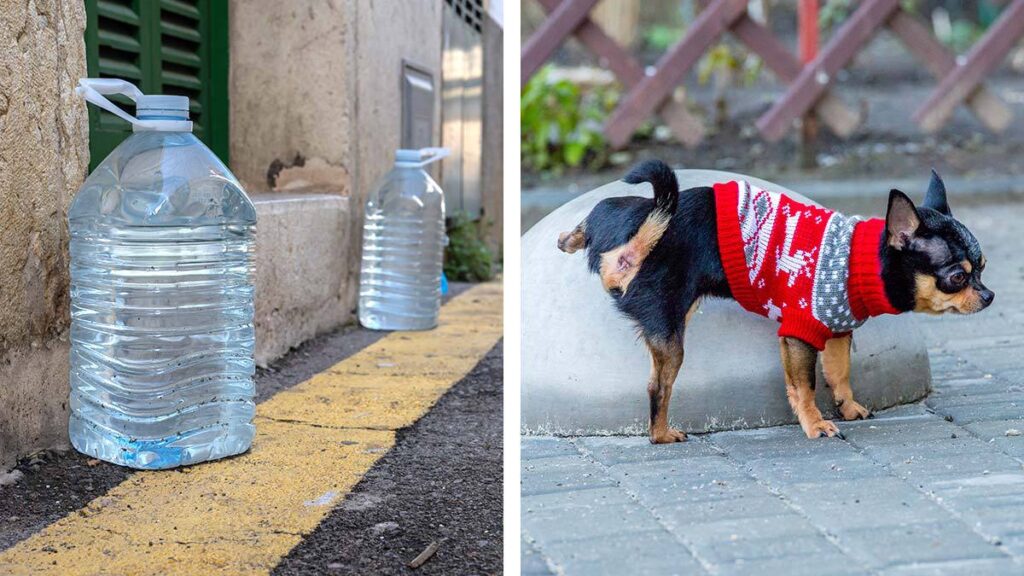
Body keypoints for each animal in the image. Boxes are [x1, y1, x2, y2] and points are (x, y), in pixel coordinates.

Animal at [561, 158, 991, 440]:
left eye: (983, 267)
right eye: (957, 277)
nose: (989, 295)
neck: (861, 258)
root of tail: (629, 251)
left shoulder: (837, 331)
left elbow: (839, 373)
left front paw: (848, 406)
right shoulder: (800, 332)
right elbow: (805, 385)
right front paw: (815, 424)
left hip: (621, 220)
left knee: (602, 209)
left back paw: (572, 236)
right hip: (670, 334)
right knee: (657, 389)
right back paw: (662, 434)